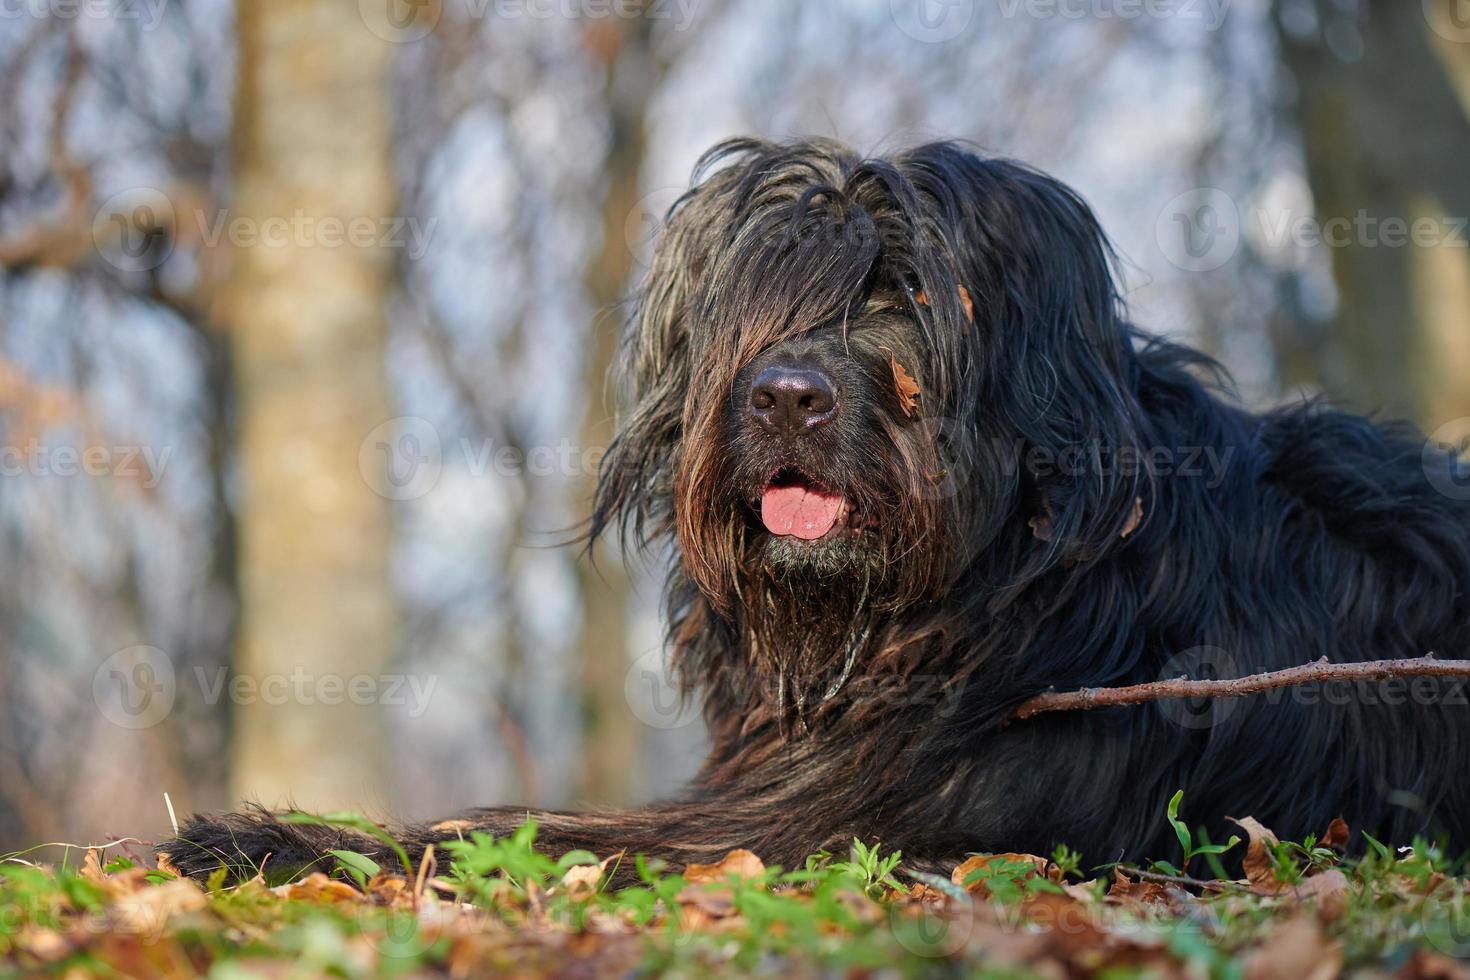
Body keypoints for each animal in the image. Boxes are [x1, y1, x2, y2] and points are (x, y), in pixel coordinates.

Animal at [160, 135, 1470, 881]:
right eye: (759, 295)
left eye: (909, 296)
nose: (787, 396)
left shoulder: (835, 819)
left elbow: (527, 828)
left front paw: (262, 836)